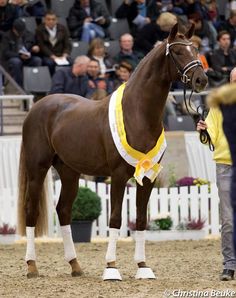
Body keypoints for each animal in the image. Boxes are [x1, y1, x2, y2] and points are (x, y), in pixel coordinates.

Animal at [17, 23, 207, 280]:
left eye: (195, 49)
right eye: (177, 52)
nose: (201, 80)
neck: (137, 113)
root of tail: (37, 106)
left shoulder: (148, 177)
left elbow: (140, 219)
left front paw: (143, 266)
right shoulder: (118, 176)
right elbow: (115, 218)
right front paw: (111, 267)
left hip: (69, 172)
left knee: (64, 210)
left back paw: (75, 266)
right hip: (38, 168)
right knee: (31, 210)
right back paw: (32, 266)